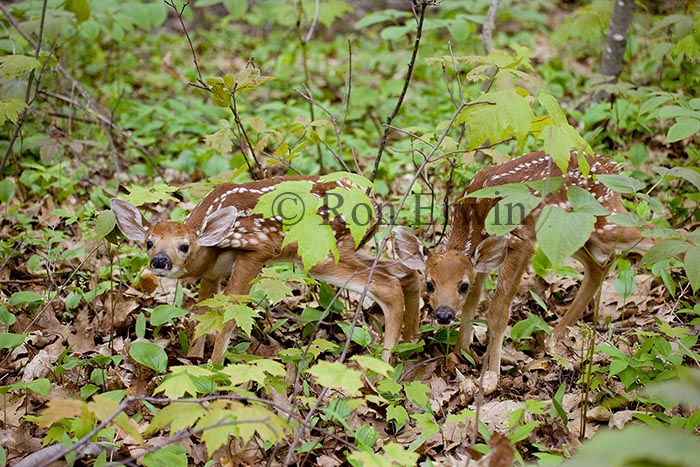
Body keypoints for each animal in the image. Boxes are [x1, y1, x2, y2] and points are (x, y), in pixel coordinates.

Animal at [111, 176, 420, 365]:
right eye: (149, 242)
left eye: (184, 246)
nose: (160, 261)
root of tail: (375, 205)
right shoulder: (212, 272)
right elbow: (202, 315)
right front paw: (194, 359)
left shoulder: (256, 250)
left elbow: (229, 317)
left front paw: (214, 368)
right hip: (349, 248)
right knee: (405, 271)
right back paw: (410, 341)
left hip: (320, 254)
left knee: (386, 284)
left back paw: (381, 365)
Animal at [394, 151, 646, 392]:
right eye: (429, 284)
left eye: (462, 285)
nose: (444, 314)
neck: (472, 219)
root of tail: (612, 166)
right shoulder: (484, 261)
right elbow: (472, 304)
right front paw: (460, 353)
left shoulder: (519, 244)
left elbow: (497, 311)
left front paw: (491, 377)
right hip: (572, 230)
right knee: (599, 264)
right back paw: (556, 335)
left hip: (604, 219)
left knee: (647, 233)